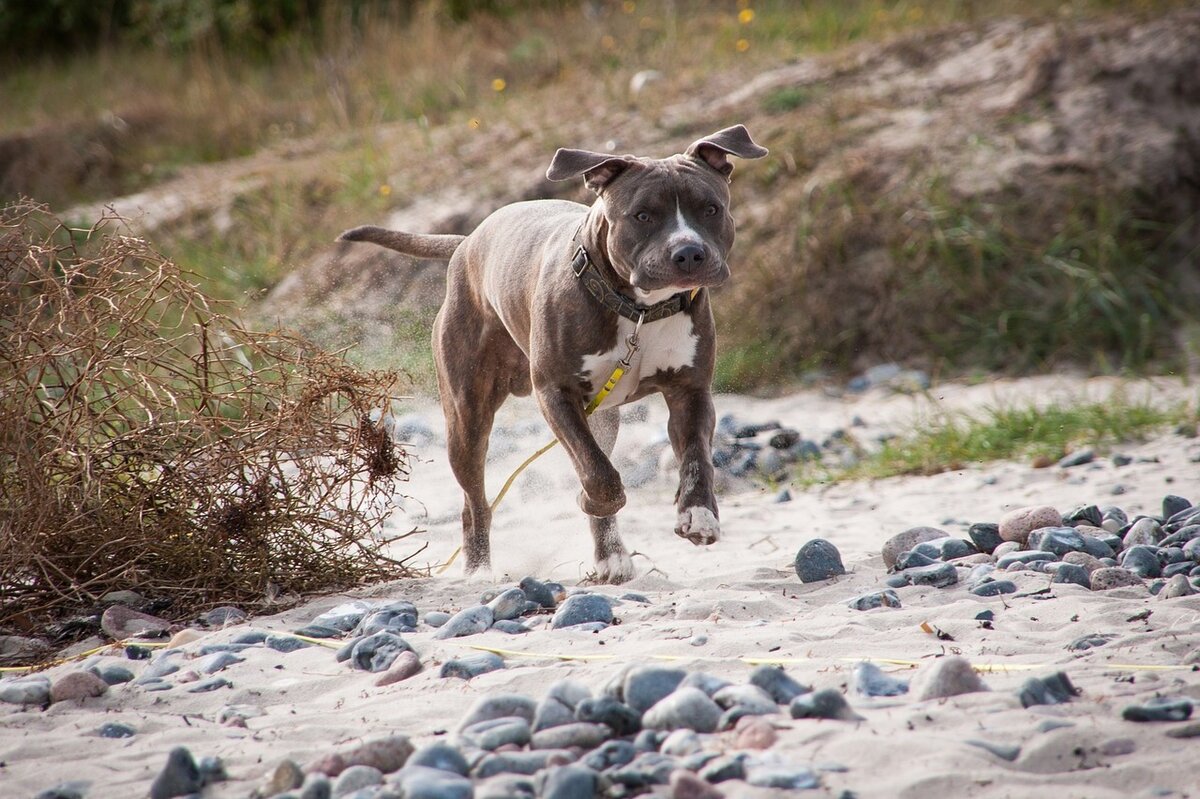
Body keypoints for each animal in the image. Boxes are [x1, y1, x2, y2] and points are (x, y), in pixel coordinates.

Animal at [340, 124, 768, 583]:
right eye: (642, 215)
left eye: (710, 208)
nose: (688, 252)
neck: (638, 310)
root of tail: (469, 241)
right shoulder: (556, 393)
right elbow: (597, 472)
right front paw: (594, 499)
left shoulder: (690, 391)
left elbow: (695, 459)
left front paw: (698, 515)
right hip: (466, 416)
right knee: (475, 502)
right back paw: (479, 570)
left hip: (601, 417)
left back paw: (610, 557)